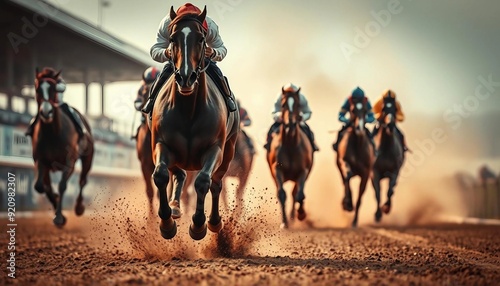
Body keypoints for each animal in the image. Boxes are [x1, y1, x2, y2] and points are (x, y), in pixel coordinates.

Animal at [31, 68, 94, 227]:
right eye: (37, 89)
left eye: (53, 89)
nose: (46, 112)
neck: (52, 134)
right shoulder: (40, 160)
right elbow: (40, 186)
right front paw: (56, 205)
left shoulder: (69, 161)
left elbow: (62, 185)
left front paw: (59, 218)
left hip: (87, 158)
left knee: (82, 181)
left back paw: (79, 207)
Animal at [148, 6, 240, 240]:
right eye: (173, 38)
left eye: (201, 39)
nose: (185, 77)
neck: (188, 111)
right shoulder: (161, 143)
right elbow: (160, 175)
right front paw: (166, 224)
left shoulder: (216, 148)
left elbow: (203, 181)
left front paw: (198, 225)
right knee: (179, 174)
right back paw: (174, 207)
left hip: (230, 149)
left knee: (216, 184)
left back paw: (215, 222)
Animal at [266, 86, 312, 228]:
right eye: (283, 105)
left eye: (297, 104)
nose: (290, 124)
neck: (291, 145)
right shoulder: (277, 170)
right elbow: (281, 194)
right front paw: (284, 222)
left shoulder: (303, 171)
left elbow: (300, 195)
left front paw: (301, 214)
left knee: (295, 193)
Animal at [336, 97, 376, 227]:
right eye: (353, 110)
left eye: (365, 110)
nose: (359, 128)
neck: (358, 145)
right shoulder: (344, 162)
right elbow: (347, 178)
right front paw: (347, 204)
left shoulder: (366, 173)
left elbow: (360, 196)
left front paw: (354, 222)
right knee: (344, 180)